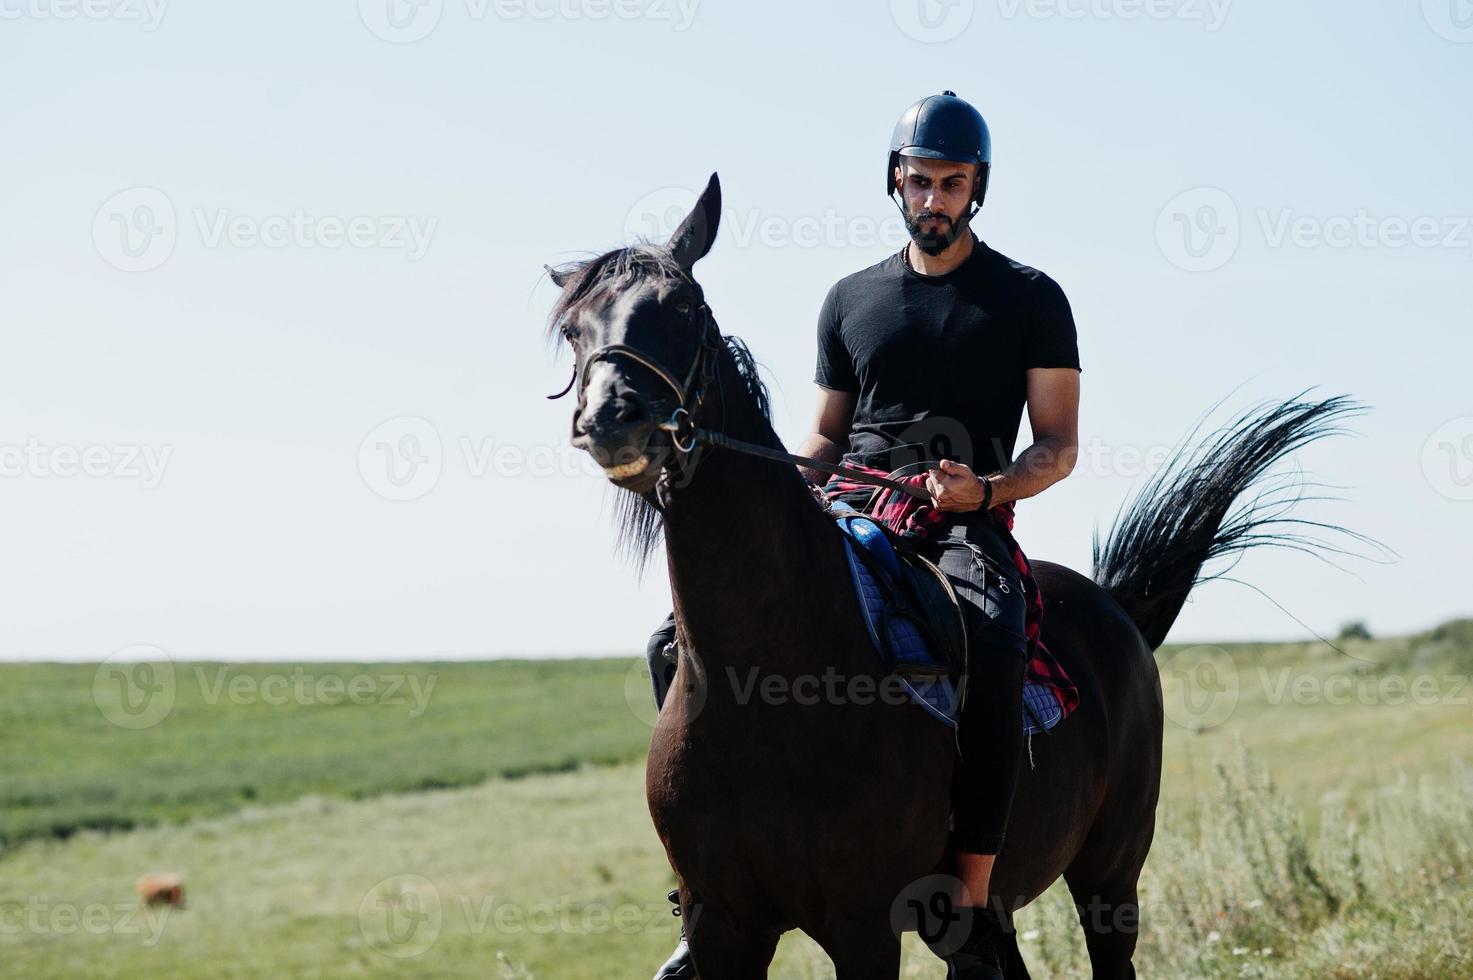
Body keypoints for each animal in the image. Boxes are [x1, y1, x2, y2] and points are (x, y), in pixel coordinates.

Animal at [547, 171, 1361, 972]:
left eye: (683, 306)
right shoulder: (724, 925)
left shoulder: (862, 928)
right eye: (573, 328)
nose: (611, 419)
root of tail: (1116, 609)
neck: (769, 679)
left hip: (1108, 873)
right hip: (988, 910)